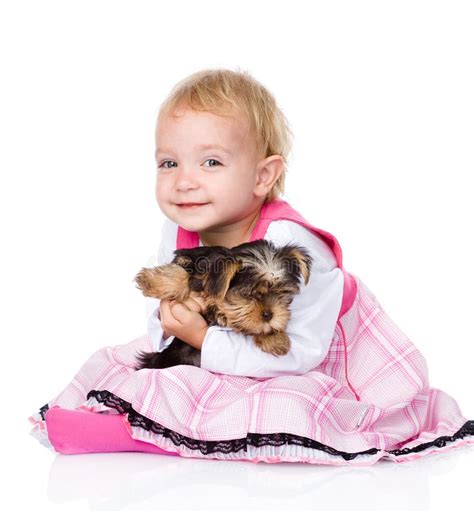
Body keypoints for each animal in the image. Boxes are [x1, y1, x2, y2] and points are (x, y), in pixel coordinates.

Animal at [134, 239, 312, 368]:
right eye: (248, 294)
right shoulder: (190, 257)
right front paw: (153, 281)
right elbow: (183, 273)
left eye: (282, 294)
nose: (269, 314)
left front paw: (274, 337)